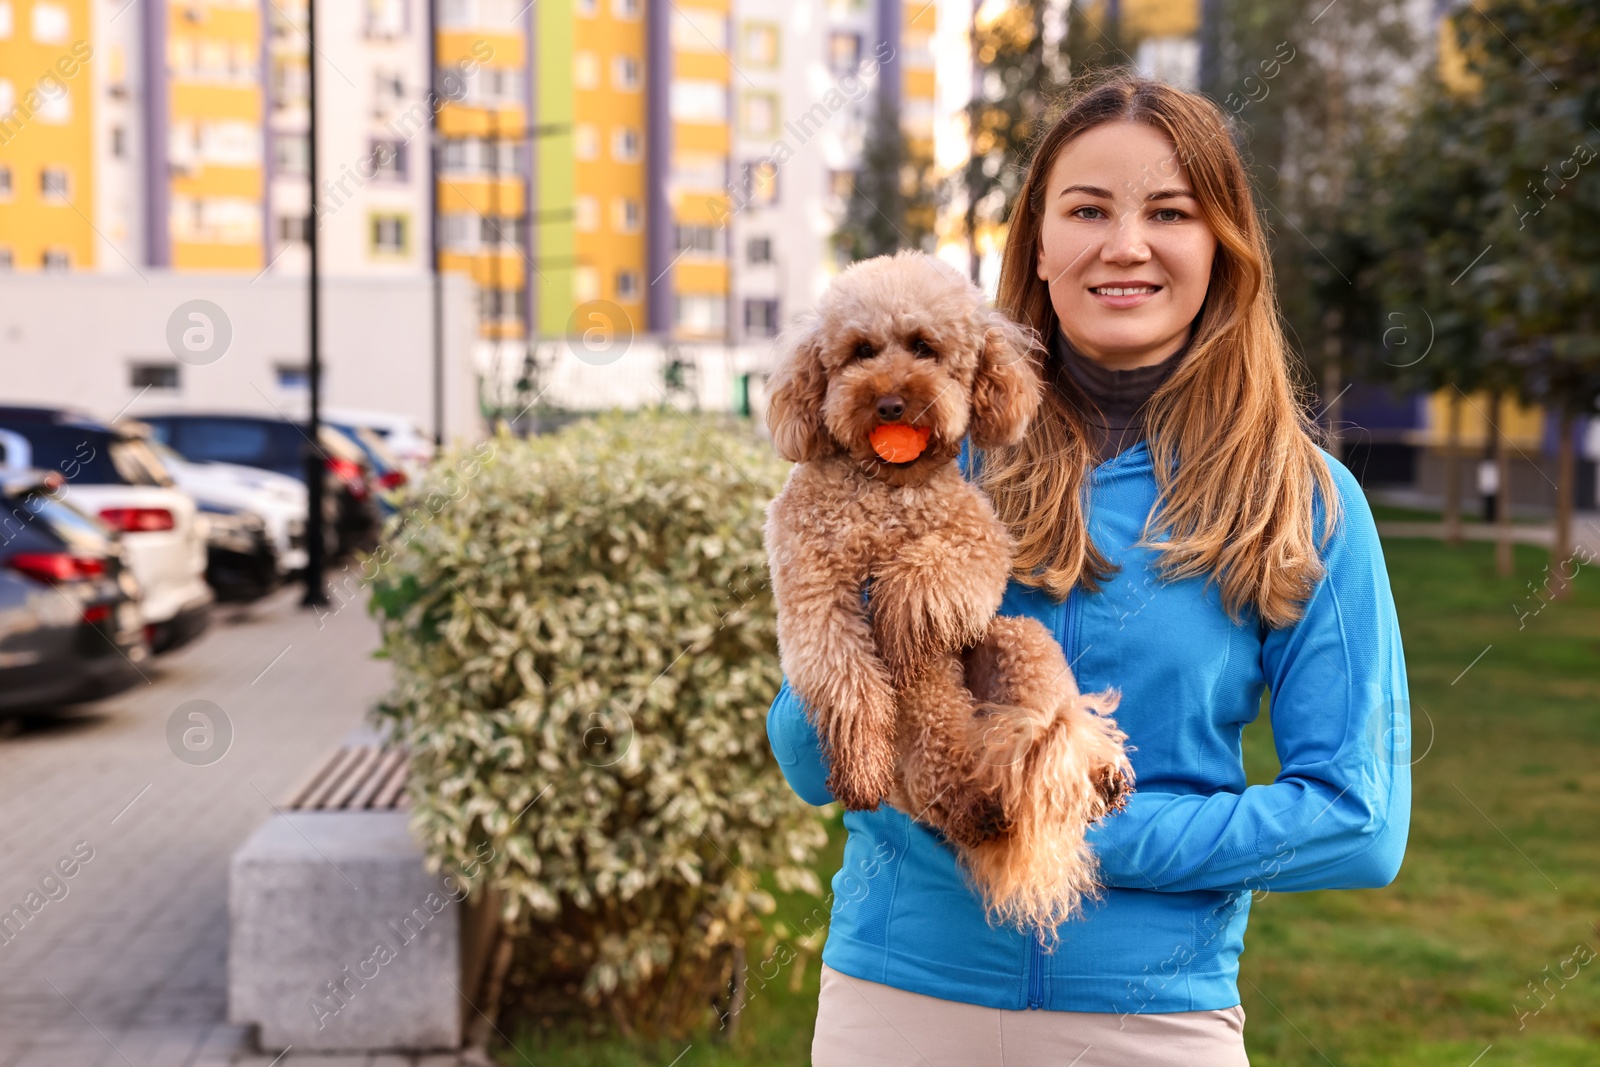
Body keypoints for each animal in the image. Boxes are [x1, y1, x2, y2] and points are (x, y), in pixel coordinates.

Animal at [764, 251, 1132, 940]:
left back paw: (1096, 772)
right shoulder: (814, 591)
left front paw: (900, 613)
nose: (889, 403)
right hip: (927, 771)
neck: (884, 490)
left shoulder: (978, 542)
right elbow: (850, 681)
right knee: (945, 781)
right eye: (860, 351)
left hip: (1018, 640)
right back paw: (973, 802)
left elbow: (928, 573)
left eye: (924, 348)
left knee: (1055, 716)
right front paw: (859, 767)